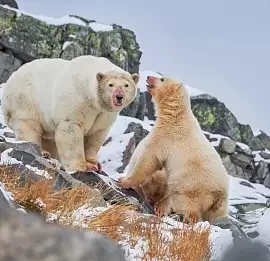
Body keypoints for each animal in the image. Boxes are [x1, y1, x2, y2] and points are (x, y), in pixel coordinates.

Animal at [2, 54, 140, 172]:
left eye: (126, 85)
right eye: (111, 84)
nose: (119, 96)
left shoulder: (103, 114)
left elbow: (96, 135)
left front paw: (96, 164)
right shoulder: (77, 100)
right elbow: (71, 129)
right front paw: (83, 166)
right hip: (25, 101)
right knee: (29, 126)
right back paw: (42, 152)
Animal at [119, 75, 229, 221]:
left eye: (162, 79)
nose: (148, 77)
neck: (176, 116)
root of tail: (221, 195)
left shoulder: (166, 136)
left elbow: (149, 159)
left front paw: (124, 181)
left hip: (191, 185)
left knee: (185, 203)